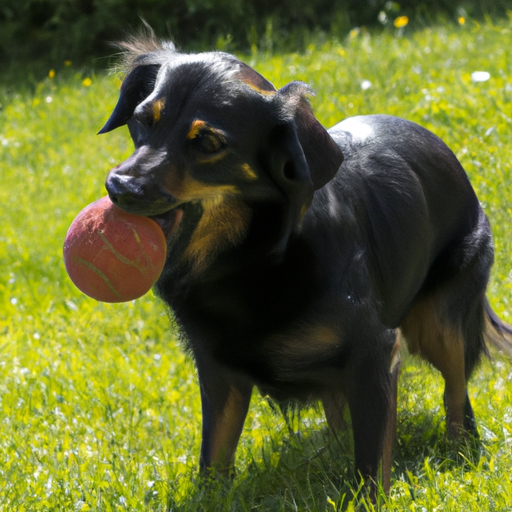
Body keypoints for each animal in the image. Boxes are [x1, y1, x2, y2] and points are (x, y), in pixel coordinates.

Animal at [97, 35, 512, 496]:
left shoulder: (375, 352)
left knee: (455, 392)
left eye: (208, 143)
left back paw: (459, 448)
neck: (249, 259)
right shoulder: (217, 365)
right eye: (140, 121)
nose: (120, 187)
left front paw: (366, 496)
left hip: (441, 317)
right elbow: (215, 455)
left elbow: (371, 460)